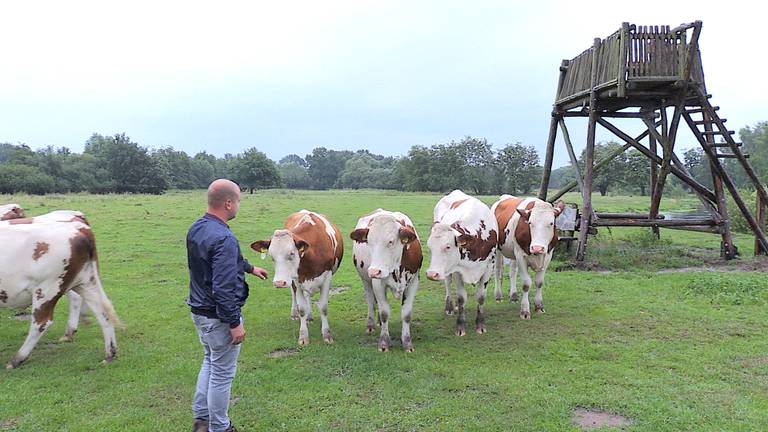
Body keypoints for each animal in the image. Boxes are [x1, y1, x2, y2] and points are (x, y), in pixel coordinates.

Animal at [0, 218, 120, 366]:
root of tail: (78, 230)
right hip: (87, 282)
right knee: (103, 312)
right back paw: (110, 354)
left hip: (46, 289)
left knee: (41, 323)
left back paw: (18, 358)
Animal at [252, 209, 342, 344]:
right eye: (272, 256)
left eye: (292, 253)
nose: (279, 283)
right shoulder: (297, 280)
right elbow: (302, 308)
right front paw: (303, 336)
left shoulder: (327, 276)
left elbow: (323, 307)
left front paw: (327, 335)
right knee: (294, 294)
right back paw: (295, 313)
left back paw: (310, 316)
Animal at [352, 208, 424, 352]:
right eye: (368, 241)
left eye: (390, 241)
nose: (374, 271)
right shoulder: (378, 283)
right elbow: (385, 312)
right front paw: (384, 342)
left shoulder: (413, 282)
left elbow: (406, 314)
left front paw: (407, 342)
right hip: (366, 280)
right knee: (371, 301)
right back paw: (371, 324)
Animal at [426, 190, 498, 338]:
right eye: (429, 247)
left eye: (448, 246)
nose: (431, 274)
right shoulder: (457, 270)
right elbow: (461, 298)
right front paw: (460, 326)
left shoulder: (489, 266)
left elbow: (481, 296)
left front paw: (480, 325)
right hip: (447, 271)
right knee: (447, 284)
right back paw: (449, 307)